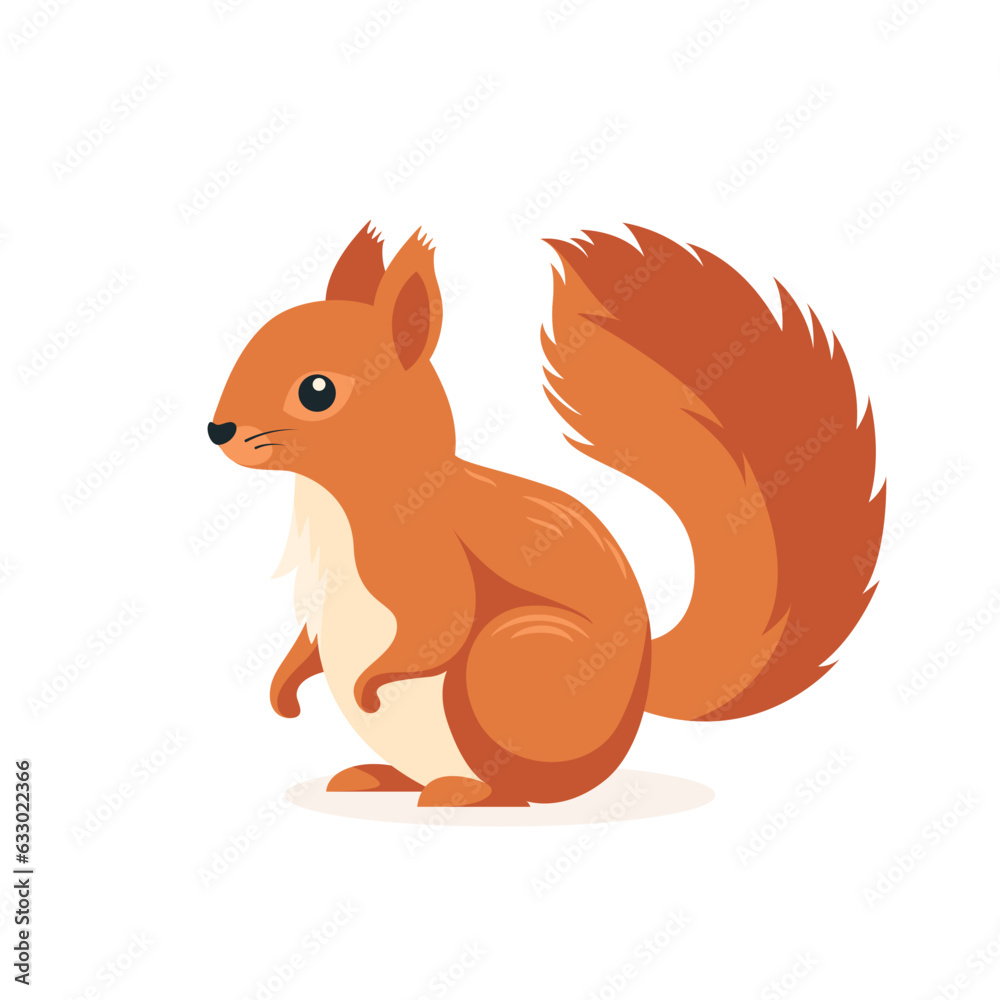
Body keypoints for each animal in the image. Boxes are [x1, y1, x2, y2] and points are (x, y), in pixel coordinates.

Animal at [209, 223, 884, 808]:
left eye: (317, 390)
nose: (218, 431)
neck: (345, 496)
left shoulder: (429, 553)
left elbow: (441, 623)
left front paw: (368, 685)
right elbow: (308, 645)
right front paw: (285, 691)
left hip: (510, 661)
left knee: (522, 781)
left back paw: (464, 792)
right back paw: (378, 778)